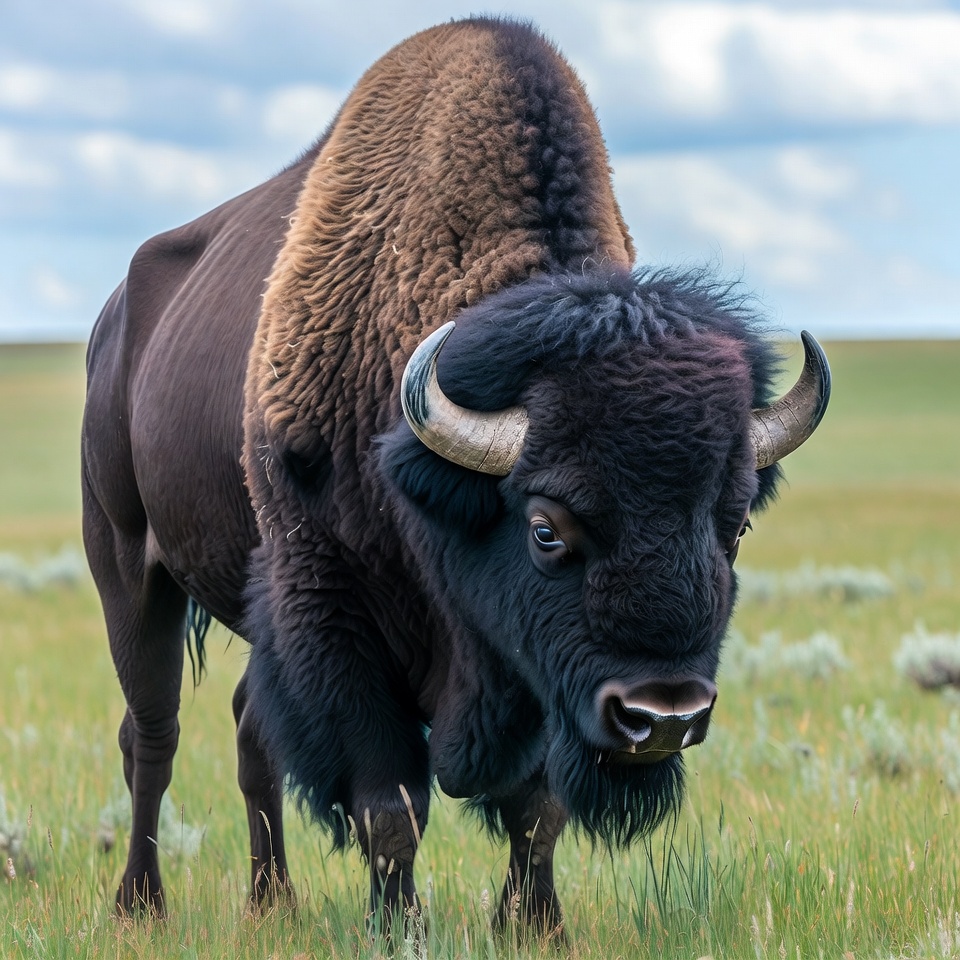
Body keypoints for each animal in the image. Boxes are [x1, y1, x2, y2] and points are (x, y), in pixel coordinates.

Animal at [81, 17, 830, 938]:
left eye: (735, 525)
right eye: (545, 527)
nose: (664, 716)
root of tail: (114, 321)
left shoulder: (531, 672)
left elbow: (536, 807)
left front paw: (535, 924)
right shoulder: (338, 618)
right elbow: (391, 805)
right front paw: (400, 927)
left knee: (250, 734)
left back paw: (273, 901)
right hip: (129, 571)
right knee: (153, 735)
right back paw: (141, 903)